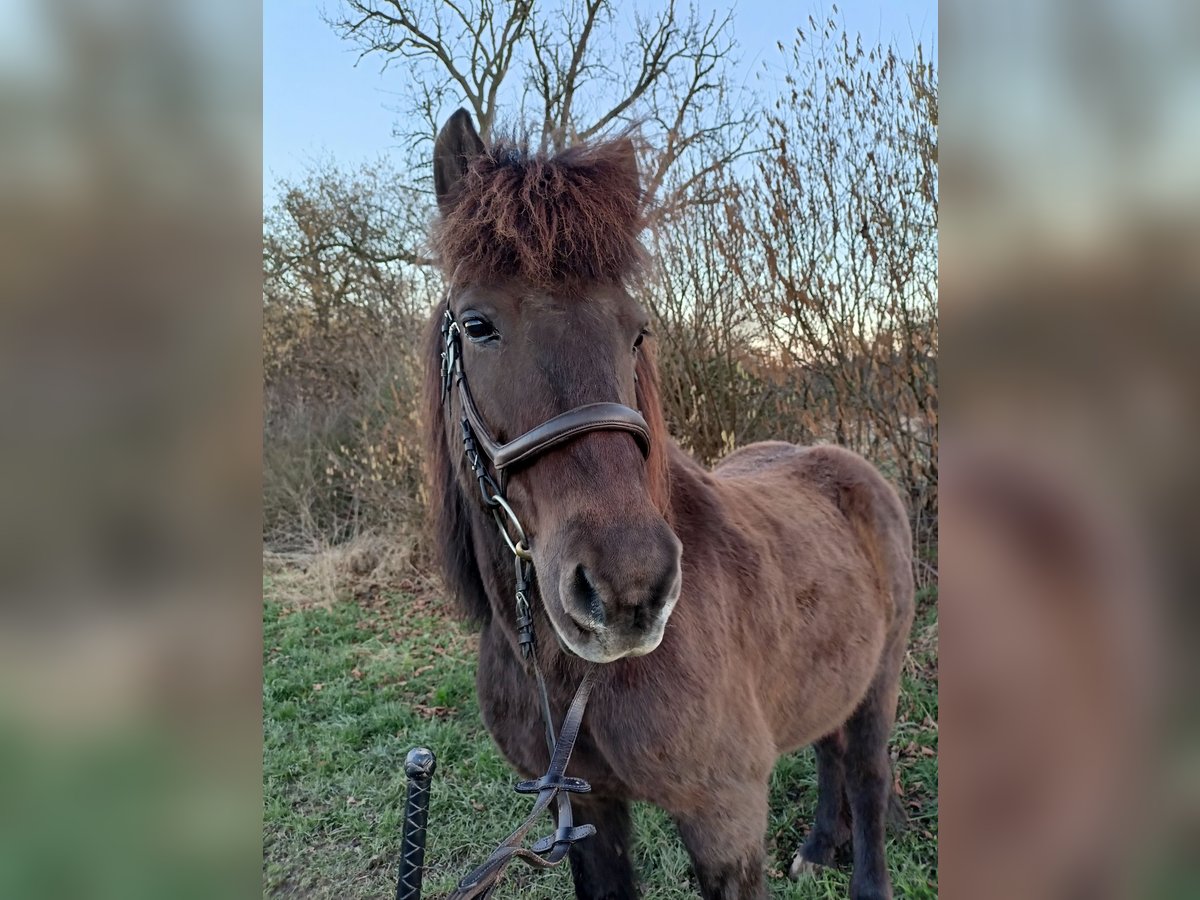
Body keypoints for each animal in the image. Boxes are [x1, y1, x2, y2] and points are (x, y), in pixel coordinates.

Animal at [427, 107, 912, 900]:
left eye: (637, 331)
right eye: (476, 325)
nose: (629, 589)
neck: (574, 678)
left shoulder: (724, 821)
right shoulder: (588, 813)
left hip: (881, 678)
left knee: (867, 774)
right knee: (828, 747)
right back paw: (817, 846)